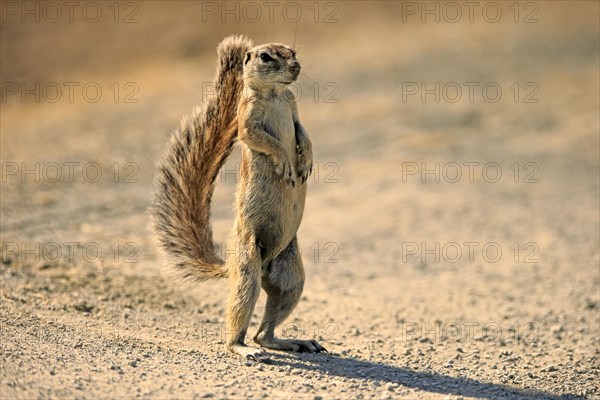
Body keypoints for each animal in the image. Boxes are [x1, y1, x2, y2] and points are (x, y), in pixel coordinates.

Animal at [152, 35, 326, 362]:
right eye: (266, 56)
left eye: (293, 52)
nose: (295, 67)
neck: (275, 95)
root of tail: (230, 263)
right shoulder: (247, 120)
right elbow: (261, 139)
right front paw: (286, 163)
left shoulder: (294, 109)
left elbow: (303, 132)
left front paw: (306, 160)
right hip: (248, 270)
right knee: (243, 322)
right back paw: (244, 349)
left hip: (291, 280)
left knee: (265, 332)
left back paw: (293, 342)